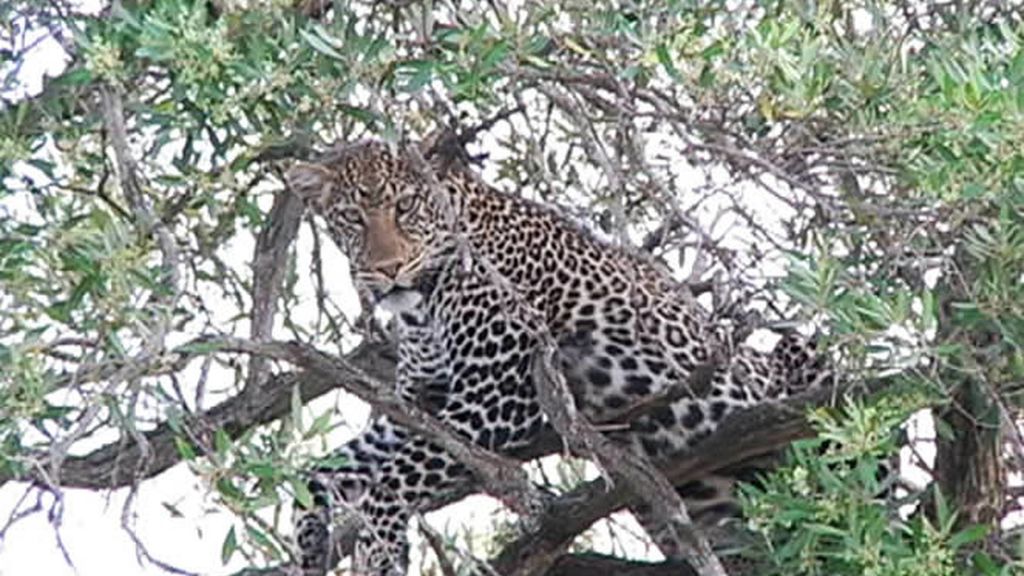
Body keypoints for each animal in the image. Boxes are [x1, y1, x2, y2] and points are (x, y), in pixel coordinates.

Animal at [283, 139, 832, 575]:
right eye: (352, 218)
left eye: (406, 206)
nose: (387, 269)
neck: (422, 310)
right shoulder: (420, 407)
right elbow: (320, 470)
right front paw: (309, 543)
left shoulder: (496, 397)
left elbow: (391, 480)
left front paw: (381, 552)